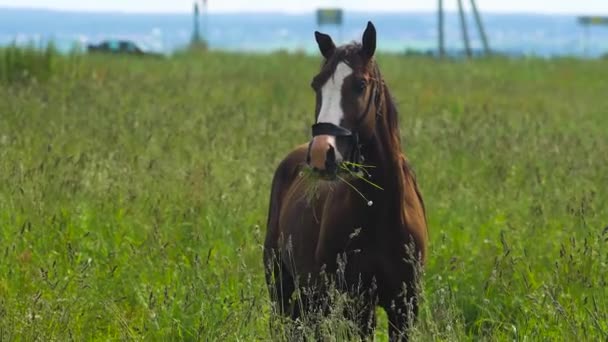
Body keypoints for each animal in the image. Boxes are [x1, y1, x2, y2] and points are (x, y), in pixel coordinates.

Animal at [264, 22, 428, 340]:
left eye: (360, 85)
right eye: (316, 84)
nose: (320, 153)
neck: (383, 212)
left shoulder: (404, 306)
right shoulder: (358, 303)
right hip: (283, 284)